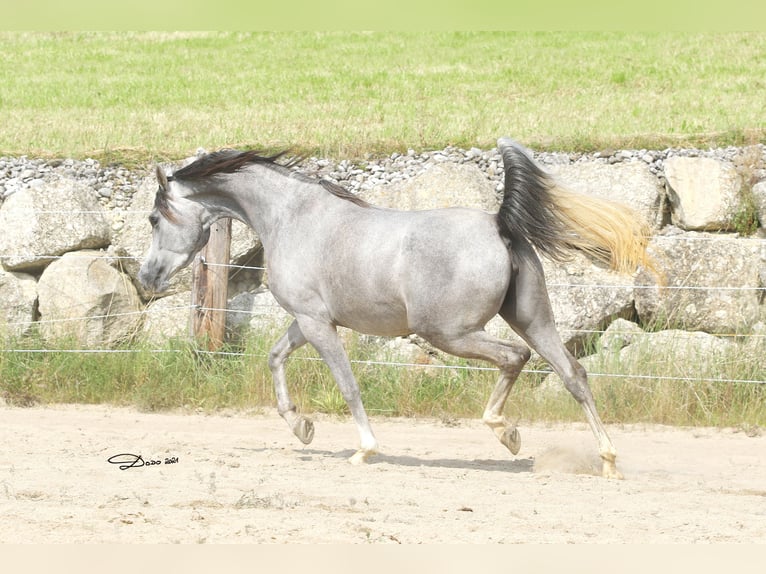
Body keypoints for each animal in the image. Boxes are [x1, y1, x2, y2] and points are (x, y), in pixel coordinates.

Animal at [140, 137, 656, 480]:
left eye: (152, 218)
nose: (146, 279)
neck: (292, 217)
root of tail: (499, 224)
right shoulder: (308, 321)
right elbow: (274, 358)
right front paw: (302, 427)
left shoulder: (317, 323)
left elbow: (347, 385)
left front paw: (364, 450)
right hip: (531, 319)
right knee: (573, 374)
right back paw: (607, 461)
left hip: (448, 333)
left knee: (516, 358)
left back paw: (506, 433)